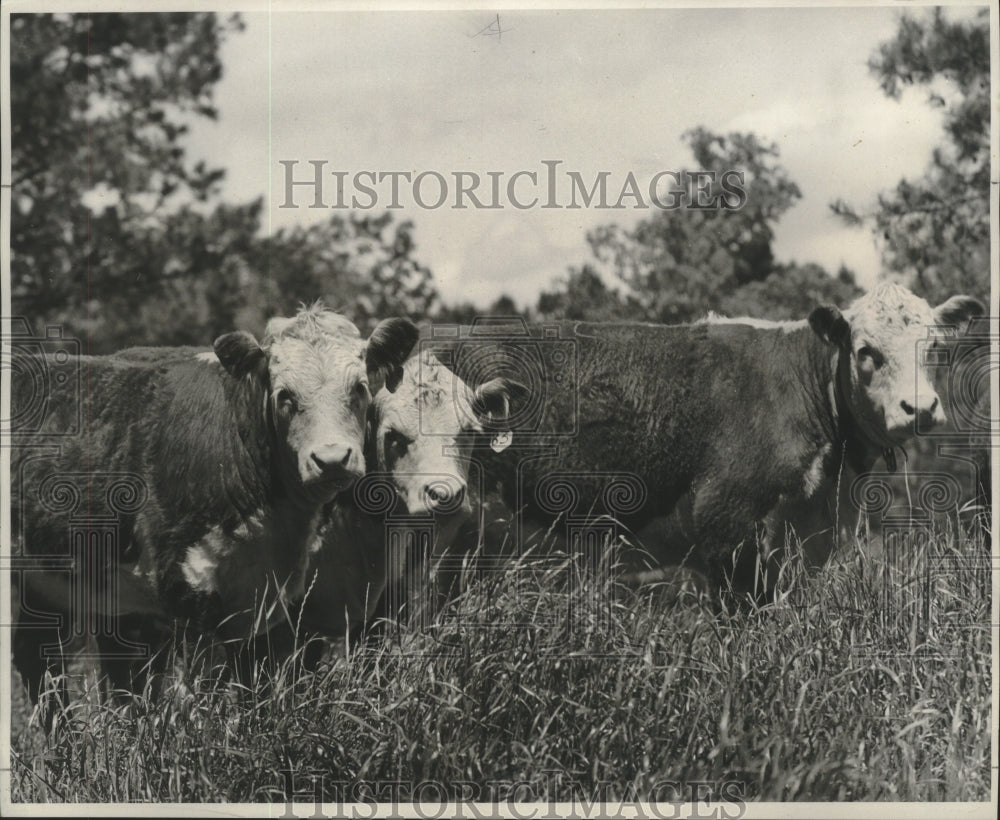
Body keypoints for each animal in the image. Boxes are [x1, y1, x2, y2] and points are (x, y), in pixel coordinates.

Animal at [7, 302, 416, 716]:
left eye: (359, 387)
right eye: (284, 395)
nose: (331, 460)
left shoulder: (265, 610)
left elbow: (256, 693)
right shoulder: (187, 593)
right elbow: (200, 694)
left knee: (37, 655)